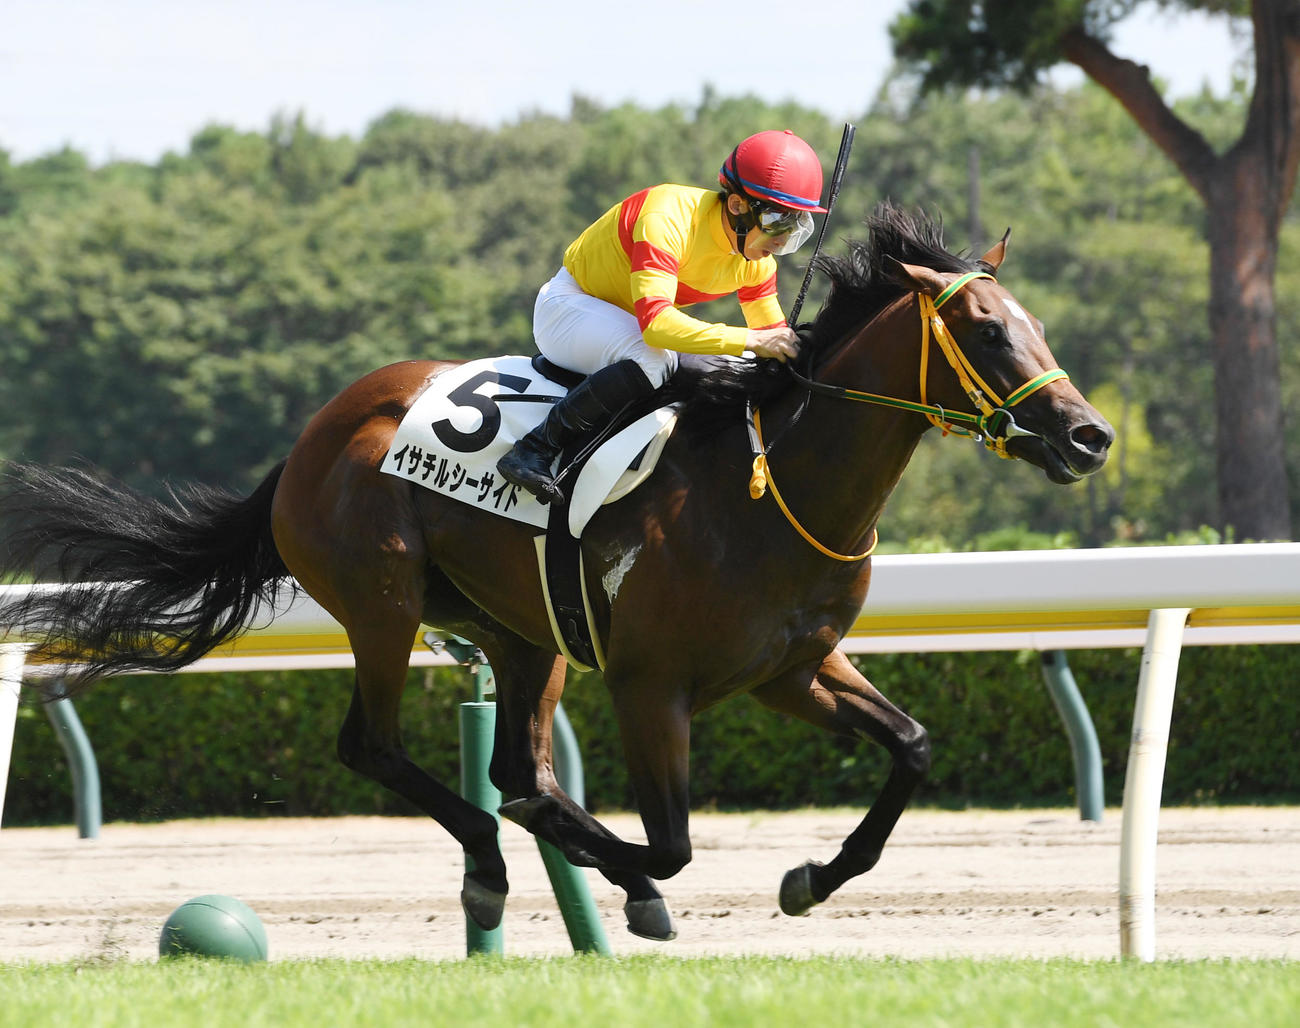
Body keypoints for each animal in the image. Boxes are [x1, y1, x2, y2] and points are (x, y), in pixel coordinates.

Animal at [0, 204, 1113, 942]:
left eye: (1039, 326)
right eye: (985, 331)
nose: (1088, 435)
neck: (771, 487)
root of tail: (315, 431)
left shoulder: (791, 669)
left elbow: (912, 748)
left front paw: (811, 877)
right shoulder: (650, 683)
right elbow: (669, 843)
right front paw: (636, 881)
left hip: (518, 628)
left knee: (514, 769)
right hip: (381, 600)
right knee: (380, 746)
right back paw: (496, 866)